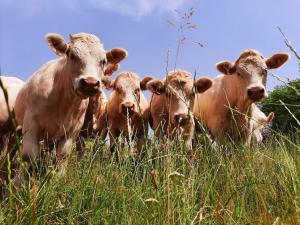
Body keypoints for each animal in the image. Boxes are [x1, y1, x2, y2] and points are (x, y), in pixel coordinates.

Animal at [12, 32, 127, 180]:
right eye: (72, 55)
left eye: (103, 61)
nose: (90, 82)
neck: (63, 102)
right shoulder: (31, 123)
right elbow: (28, 155)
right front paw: (19, 181)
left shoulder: (73, 130)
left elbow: (63, 156)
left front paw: (57, 179)